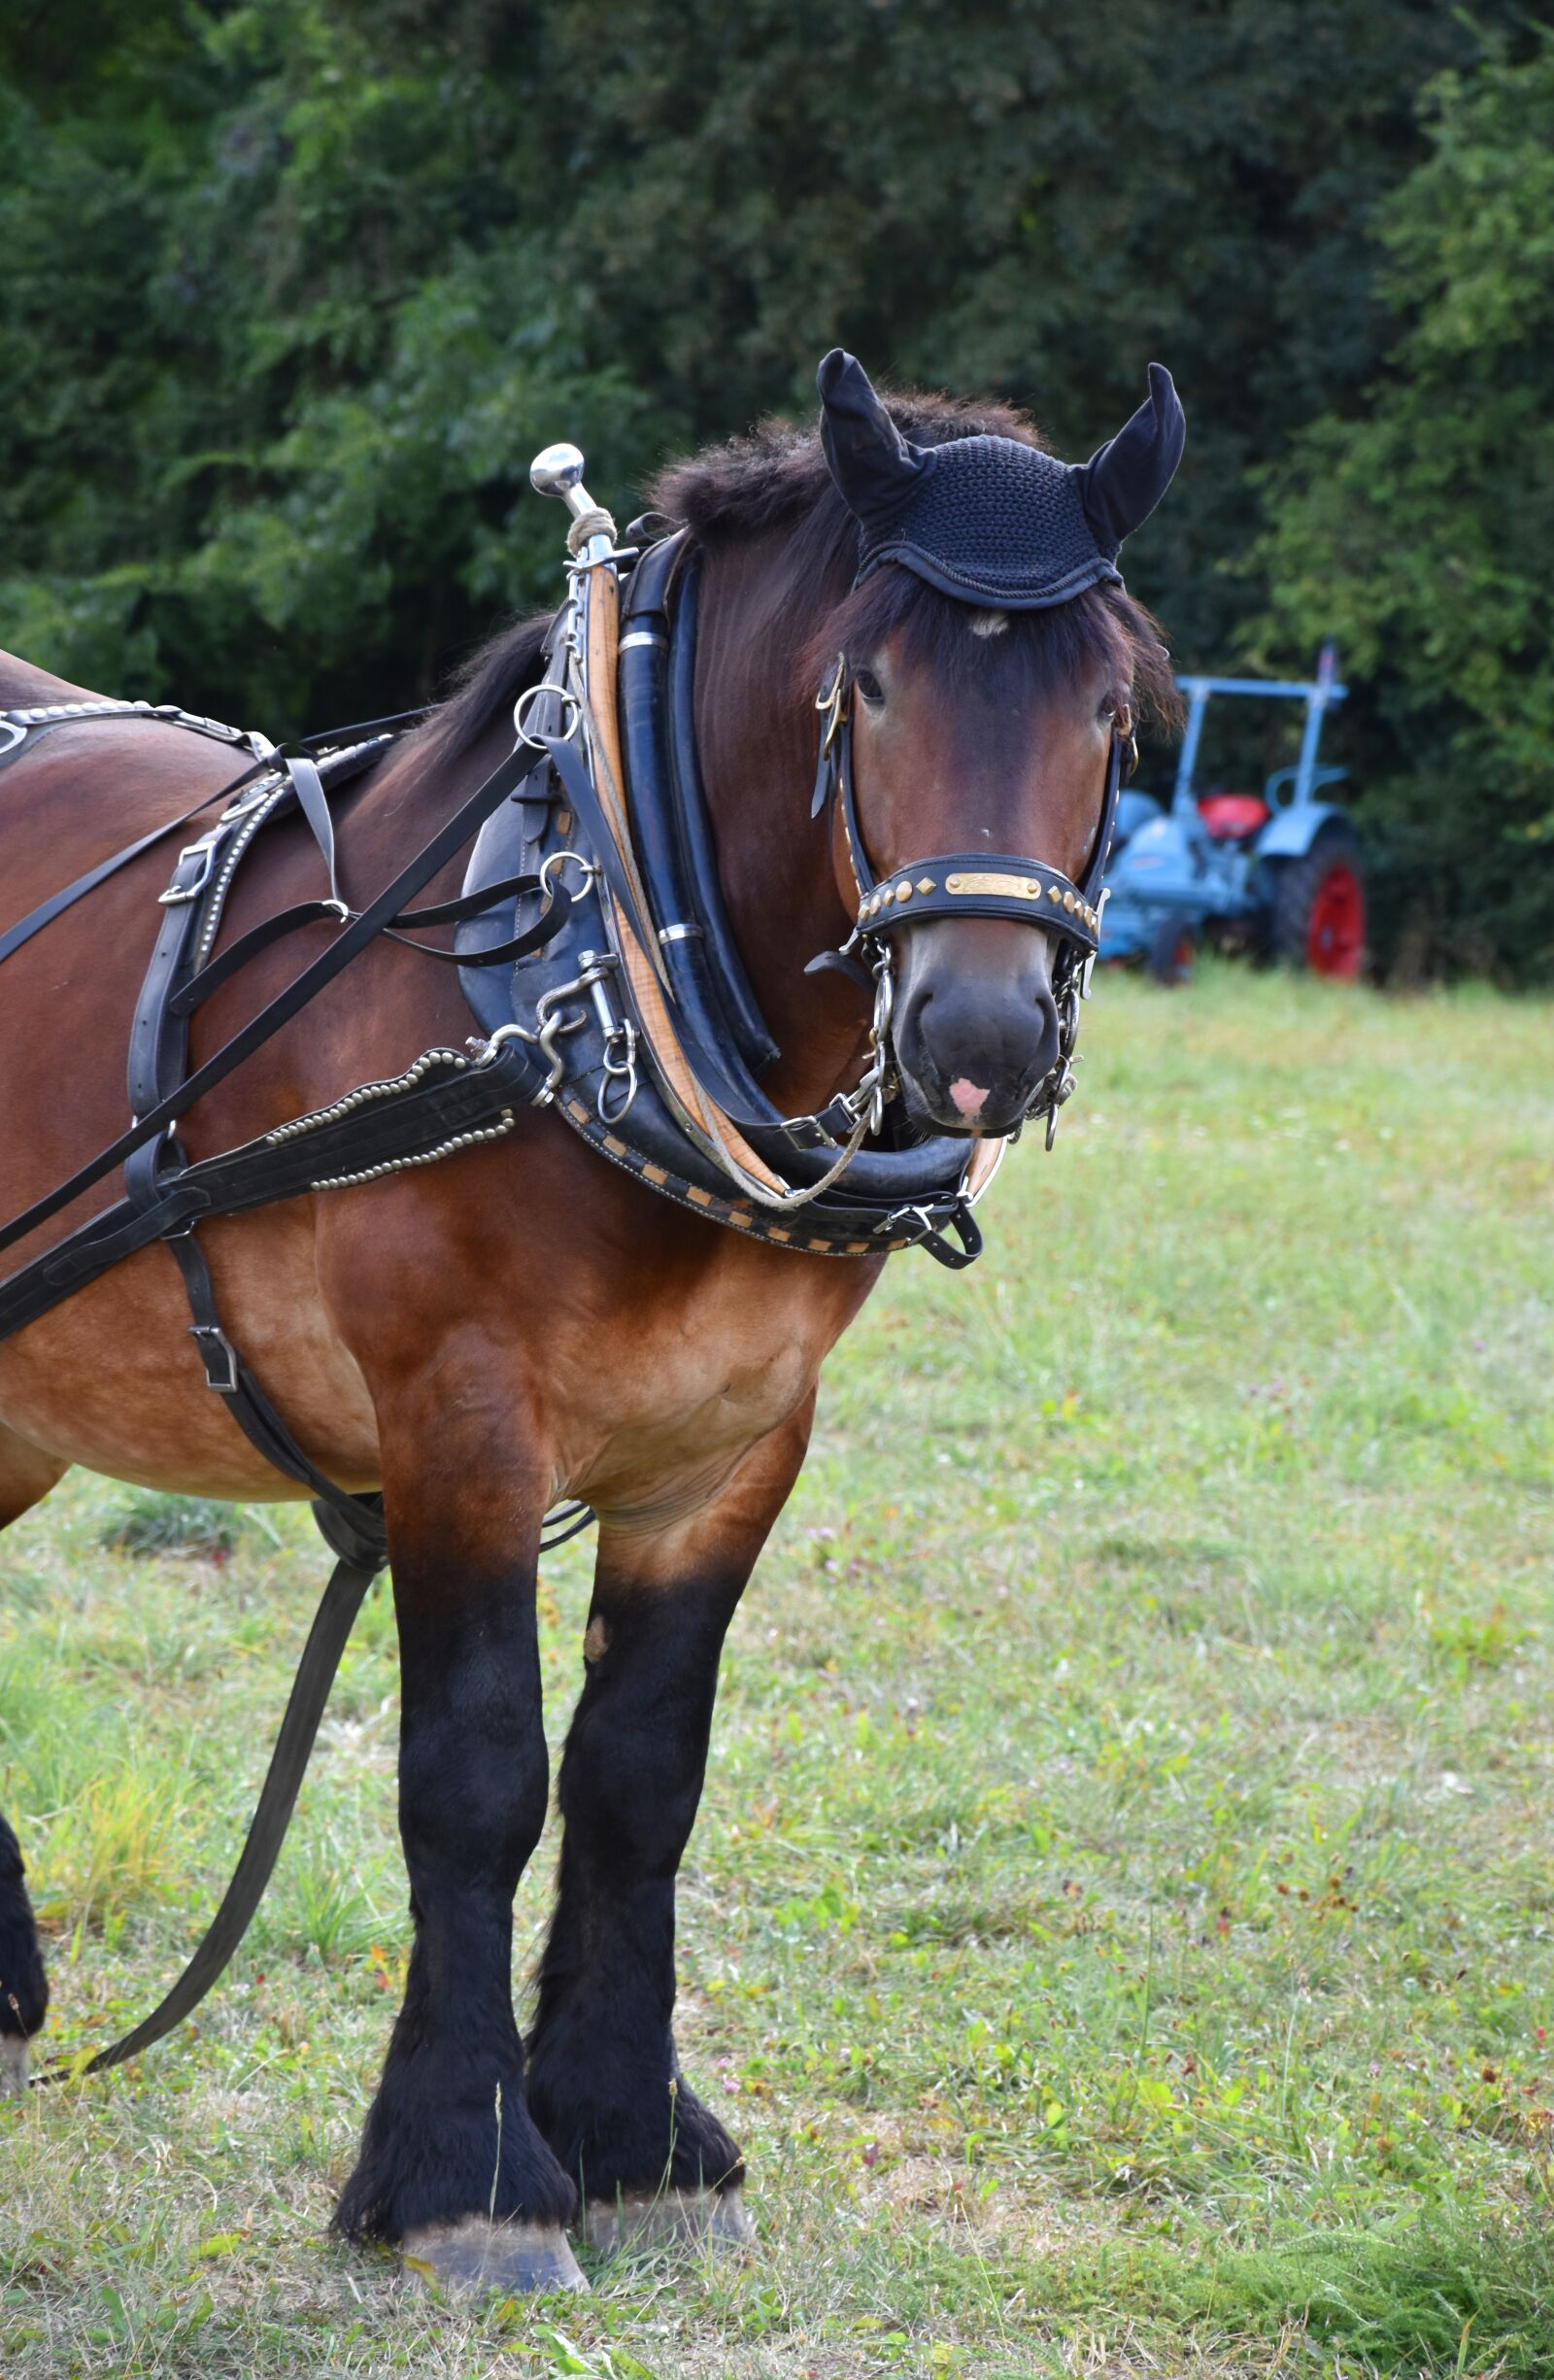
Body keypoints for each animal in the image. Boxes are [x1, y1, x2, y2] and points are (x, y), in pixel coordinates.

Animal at [0, 353, 1181, 2290]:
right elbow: (479, 1774)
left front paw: (635, 2133)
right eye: (867, 683)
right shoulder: (458, 1421)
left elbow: (641, 1774)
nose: (980, 1034)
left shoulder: (734, 1442)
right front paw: (466, 2171)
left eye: (1113, 703)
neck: (600, 964)